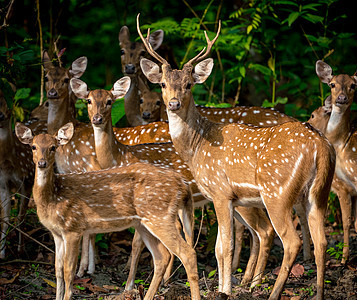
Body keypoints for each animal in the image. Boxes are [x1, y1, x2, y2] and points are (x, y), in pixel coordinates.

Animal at [15, 121, 199, 300]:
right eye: (33, 146)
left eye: (53, 147)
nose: (42, 163)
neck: (53, 197)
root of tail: (182, 183)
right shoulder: (57, 233)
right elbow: (57, 270)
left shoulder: (73, 228)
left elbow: (68, 271)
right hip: (145, 222)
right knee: (161, 257)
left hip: (159, 215)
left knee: (187, 253)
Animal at [138, 16, 336, 300]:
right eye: (163, 84)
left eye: (189, 85)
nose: (173, 104)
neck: (197, 146)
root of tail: (320, 145)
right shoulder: (225, 198)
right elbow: (220, 247)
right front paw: (223, 287)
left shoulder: (221, 192)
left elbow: (227, 247)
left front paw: (226, 290)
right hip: (319, 192)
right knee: (322, 241)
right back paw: (317, 293)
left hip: (277, 191)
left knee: (291, 240)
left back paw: (273, 292)